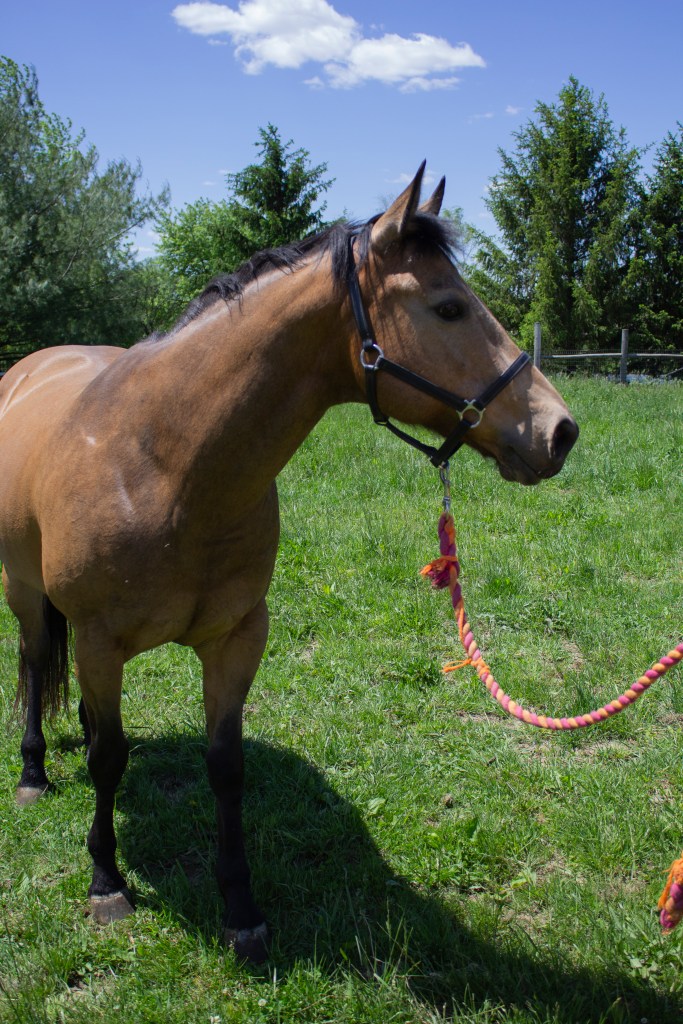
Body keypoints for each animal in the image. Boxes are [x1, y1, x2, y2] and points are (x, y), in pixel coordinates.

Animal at [0, 165, 578, 962]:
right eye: (448, 307)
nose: (560, 430)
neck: (161, 464)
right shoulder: (98, 639)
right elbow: (109, 762)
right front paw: (106, 882)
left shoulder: (237, 637)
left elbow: (223, 766)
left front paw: (241, 908)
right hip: (27, 596)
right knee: (33, 665)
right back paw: (32, 772)